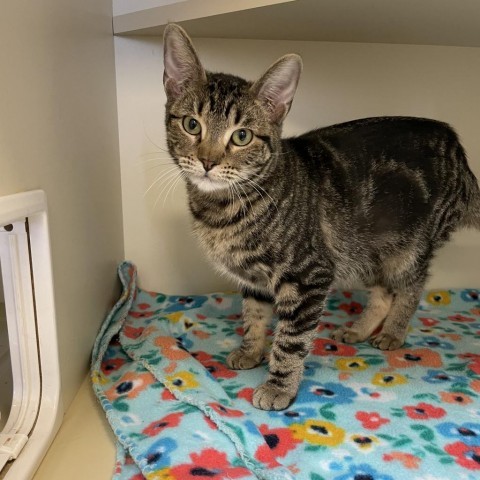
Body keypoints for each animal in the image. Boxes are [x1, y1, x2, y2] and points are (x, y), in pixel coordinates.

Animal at [162, 24, 480, 410]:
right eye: (192, 125)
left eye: (241, 136)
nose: (207, 161)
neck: (223, 210)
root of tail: (456, 145)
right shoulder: (255, 280)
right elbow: (254, 315)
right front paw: (250, 350)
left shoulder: (308, 276)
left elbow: (290, 340)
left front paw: (279, 386)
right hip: (364, 248)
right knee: (383, 291)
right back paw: (360, 329)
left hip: (408, 248)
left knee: (410, 287)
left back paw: (393, 332)